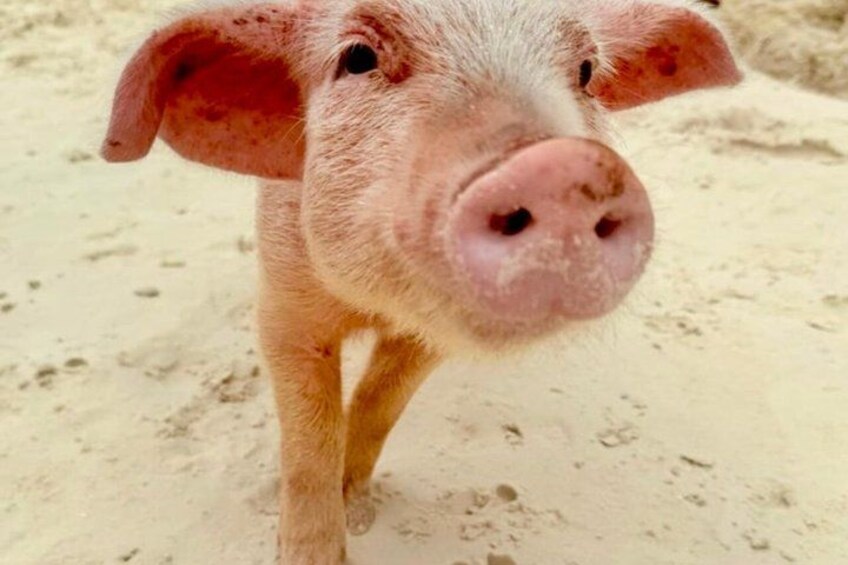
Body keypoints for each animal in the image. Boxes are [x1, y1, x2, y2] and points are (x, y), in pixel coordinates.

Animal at [102, 0, 741, 562]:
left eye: (586, 71)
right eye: (358, 57)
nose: (561, 166)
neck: (373, 305)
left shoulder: (428, 339)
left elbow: (379, 402)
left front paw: (357, 504)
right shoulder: (284, 301)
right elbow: (308, 437)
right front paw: (312, 550)